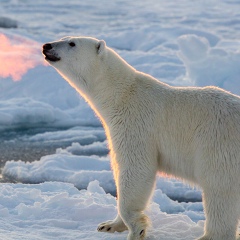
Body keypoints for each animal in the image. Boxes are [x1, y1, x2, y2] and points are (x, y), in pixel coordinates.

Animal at [43, 36, 240, 240]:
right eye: (63, 38)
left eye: (72, 43)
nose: (46, 46)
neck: (121, 94)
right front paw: (109, 225)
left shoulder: (135, 124)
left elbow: (136, 169)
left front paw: (136, 229)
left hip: (218, 144)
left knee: (219, 190)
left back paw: (210, 235)